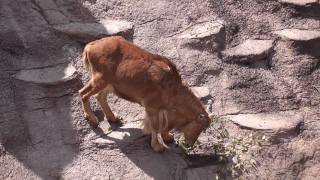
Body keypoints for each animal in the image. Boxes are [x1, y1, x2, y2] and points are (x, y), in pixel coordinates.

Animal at [79, 36, 211, 152]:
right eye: (201, 128)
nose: (190, 144)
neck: (173, 90)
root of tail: (90, 47)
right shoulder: (152, 107)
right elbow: (155, 126)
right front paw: (157, 147)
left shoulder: (163, 109)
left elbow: (164, 124)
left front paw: (167, 137)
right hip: (100, 80)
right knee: (83, 93)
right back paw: (93, 119)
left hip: (110, 84)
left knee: (100, 96)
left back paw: (113, 117)